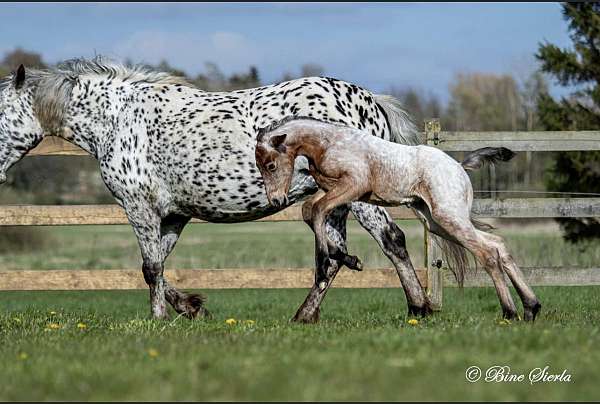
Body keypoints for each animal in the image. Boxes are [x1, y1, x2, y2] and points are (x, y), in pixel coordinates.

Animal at [0, 57, 432, 322]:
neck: (117, 121)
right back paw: (304, 316)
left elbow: (151, 268)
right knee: (331, 258)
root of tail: (370, 102)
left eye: (1, 114)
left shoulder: (139, 207)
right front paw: (191, 307)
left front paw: (159, 318)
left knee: (390, 240)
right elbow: (158, 266)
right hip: (334, 202)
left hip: (359, 196)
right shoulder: (174, 215)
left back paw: (419, 307)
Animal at [255, 117, 540, 322]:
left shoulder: (354, 186)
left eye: (270, 165)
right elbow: (309, 211)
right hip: (437, 222)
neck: (329, 143)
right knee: (497, 244)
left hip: (448, 218)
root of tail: (459, 167)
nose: (276, 201)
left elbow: (316, 211)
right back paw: (531, 308)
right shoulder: (333, 191)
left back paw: (510, 313)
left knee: (488, 253)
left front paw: (325, 264)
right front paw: (349, 260)